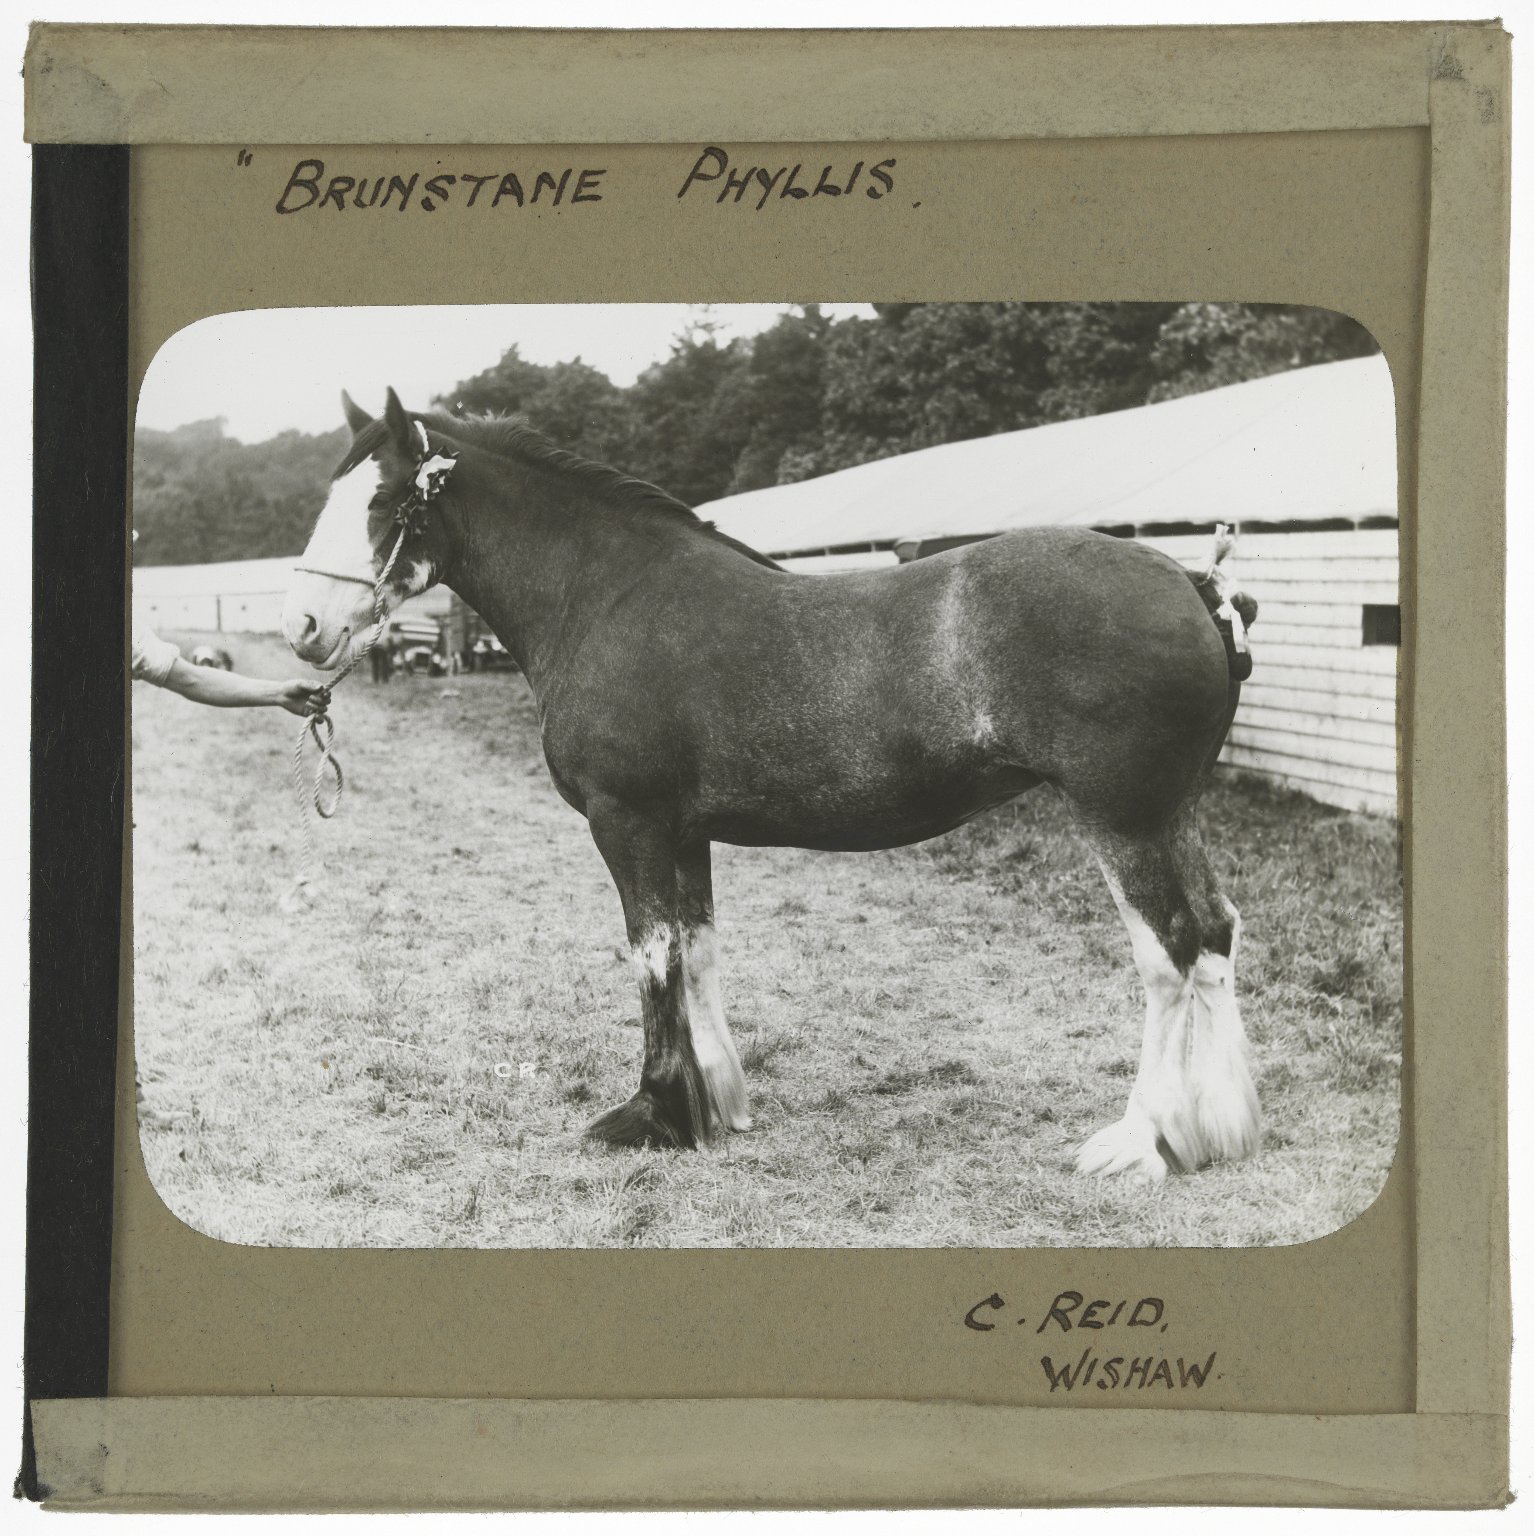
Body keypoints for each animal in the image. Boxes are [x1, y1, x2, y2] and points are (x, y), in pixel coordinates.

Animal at [283, 388, 1261, 1182]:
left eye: (383, 500)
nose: (305, 628)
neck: (607, 598)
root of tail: (1192, 581)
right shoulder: (684, 831)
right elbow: (698, 949)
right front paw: (717, 1105)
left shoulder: (627, 823)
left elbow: (653, 956)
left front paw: (654, 1114)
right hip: (1171, 813)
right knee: (1215, 935)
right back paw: (1218, 1131)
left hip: (1123, 817)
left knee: (1170, 951)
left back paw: (1141, 1142)